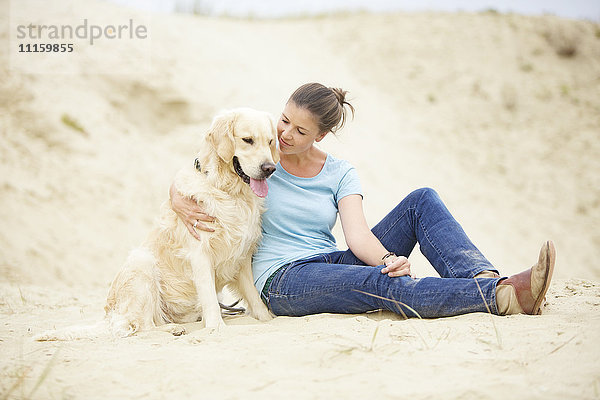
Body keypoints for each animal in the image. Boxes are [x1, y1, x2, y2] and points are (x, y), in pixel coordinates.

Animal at [37, 108, 278, 340]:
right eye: (247, 140)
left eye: (270, 141)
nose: (269, 168)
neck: (228, 191)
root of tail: (109, 317)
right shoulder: (199, 253)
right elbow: (209, 296)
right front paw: (217, 328)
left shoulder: (242, 253)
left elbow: (253, 295)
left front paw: (268, 319)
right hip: (142, 263)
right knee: (137, 326)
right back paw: (171, 329)